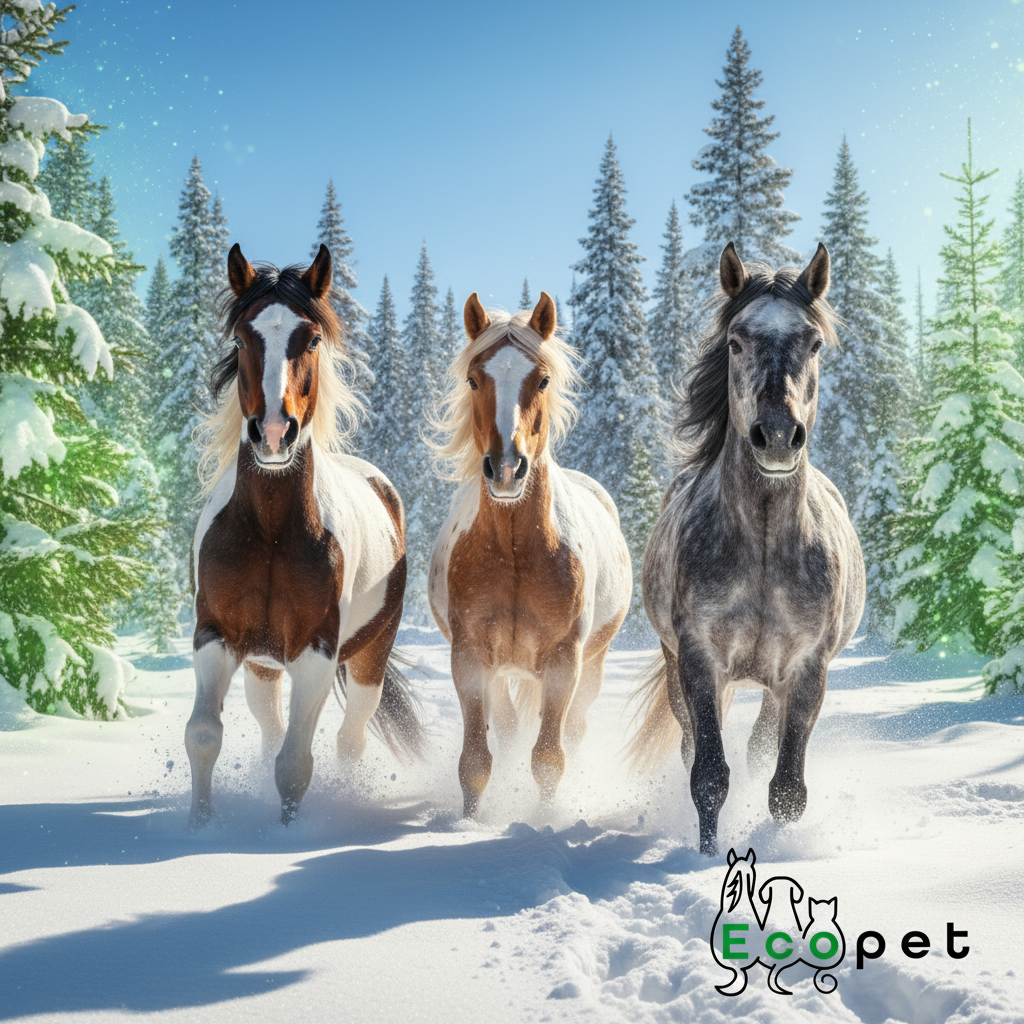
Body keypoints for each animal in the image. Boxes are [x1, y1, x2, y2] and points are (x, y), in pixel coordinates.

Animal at [185, 243, 423, 828]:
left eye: (311, 338)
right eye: (241, 337)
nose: (273, 432)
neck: (271, 529)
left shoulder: (317, 651)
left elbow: (295, 763)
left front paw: (286, 836)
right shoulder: (215, 635)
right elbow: (204, 736)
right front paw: (198, 829)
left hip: (368, 659)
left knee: (349, 740)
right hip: (262, 667)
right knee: (272, 729)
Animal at [427, 292, 632, 817]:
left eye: (542, 379)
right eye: (473, 379)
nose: (506, 469)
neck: (518, 553)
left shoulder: (564, 662)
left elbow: (548, 759)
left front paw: (543, 822)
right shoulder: (470, 658)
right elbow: (476, 762)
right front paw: (469, 824)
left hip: (591, 664)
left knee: (574, 731)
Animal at [628, 242, 865, 856]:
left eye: (814, 342)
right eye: (736, 340)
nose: (777, 436)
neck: (761, 549)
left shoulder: (807, 670)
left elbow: (786, 788)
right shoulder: (698, 660)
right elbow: (709, 775)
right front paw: (708, 857)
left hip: (774, 686)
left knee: (763, 748)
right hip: (677, 673)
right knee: (692, 744)